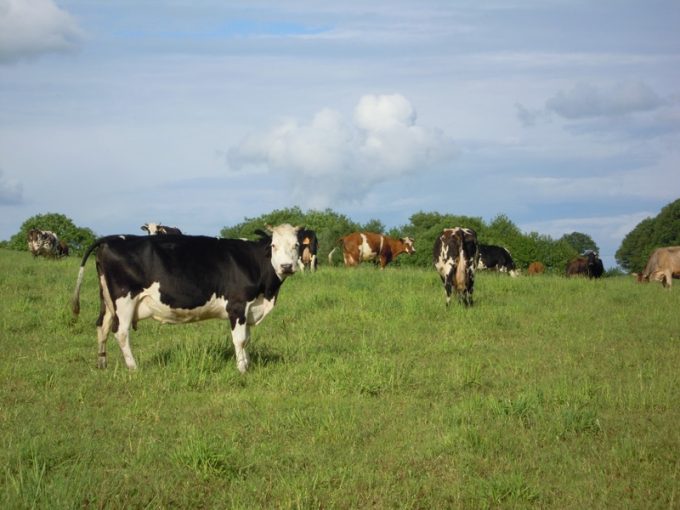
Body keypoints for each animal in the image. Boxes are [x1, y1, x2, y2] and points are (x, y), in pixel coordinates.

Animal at [71, 224, 300, 374]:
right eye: (273, 246)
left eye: (296, 245)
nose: (286, 266)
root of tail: (110, 239)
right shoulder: (237, 305)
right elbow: (240, 339)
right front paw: (242, 369)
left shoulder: (249, 308)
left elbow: (247, 339)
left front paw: (248, 363)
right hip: (124, 300)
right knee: (120, 332)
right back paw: (133, 367)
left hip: (107, 301)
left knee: (102, 326)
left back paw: (102, 363)